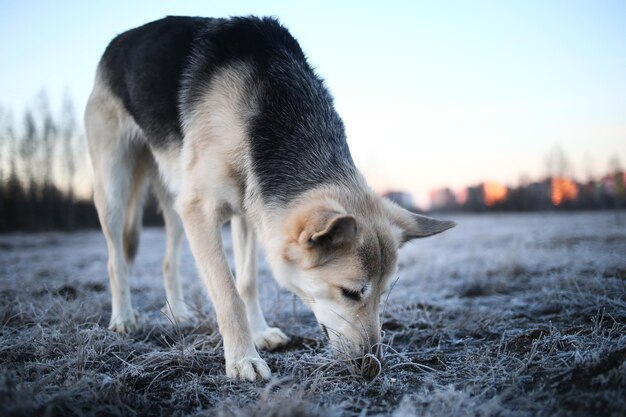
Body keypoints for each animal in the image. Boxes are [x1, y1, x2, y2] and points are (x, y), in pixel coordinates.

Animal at [84, 16, 454, 380]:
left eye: (383, 292)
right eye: (350, 292)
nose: (372, 367)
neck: (272, 107)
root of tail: (118, 42)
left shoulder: (248, 211)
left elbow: (247, 283)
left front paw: (259, 333)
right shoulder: (201, 211)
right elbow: (228, 293)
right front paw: (242, 359)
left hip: (174, 203)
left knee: (167, 261)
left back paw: (178, 311)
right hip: (115, 189)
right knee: (116, 259)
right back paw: (124, 318)